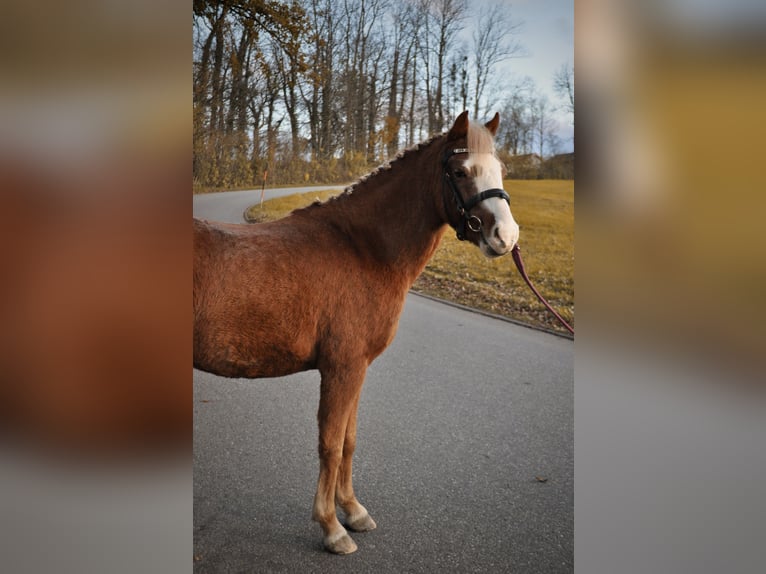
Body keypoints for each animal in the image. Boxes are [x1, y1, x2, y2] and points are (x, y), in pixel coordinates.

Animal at [195, 110, 524, 556]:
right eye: (459, 170)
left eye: (500, 170)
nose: (505, 237)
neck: (363, 249)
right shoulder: (343, 367)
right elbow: (331, 445)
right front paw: (332, 528)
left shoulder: (356, 369)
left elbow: (349, 441)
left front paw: (352, 511)